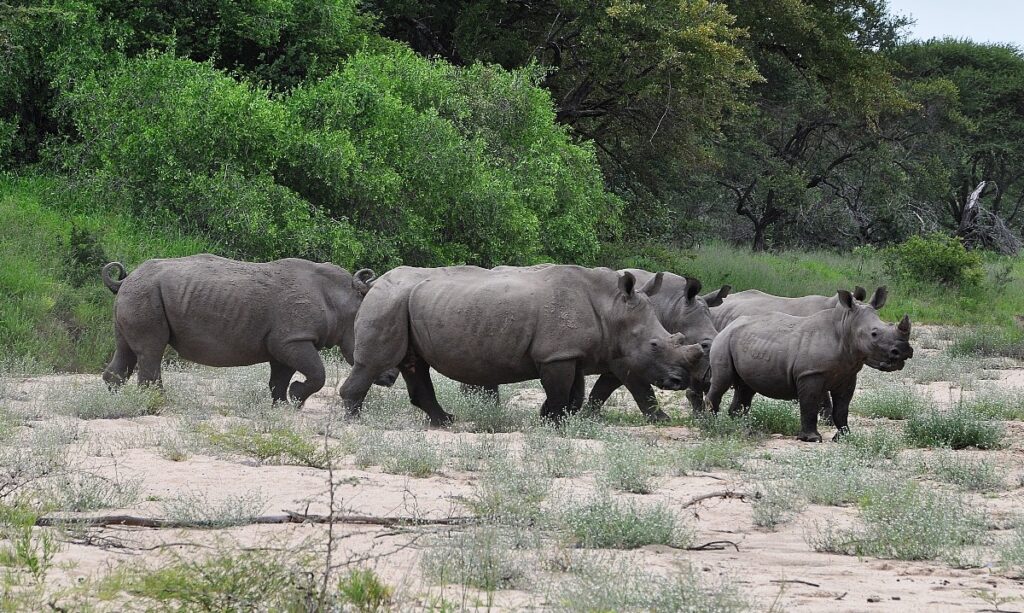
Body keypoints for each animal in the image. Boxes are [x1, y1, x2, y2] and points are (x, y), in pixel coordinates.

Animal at [102, 255, 391, 407]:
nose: (389, 379)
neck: (342, 302)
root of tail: (125, 280)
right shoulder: (293, 339)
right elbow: (318, 374)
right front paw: (297, 398)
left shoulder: (283, 342)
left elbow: (279, 378)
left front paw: (282, 406)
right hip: (145, 293)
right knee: (152, 350)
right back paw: (159, 403)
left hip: (136, 294)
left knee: (127, 349)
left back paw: (116, 400)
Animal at [339, 264, 708, 427]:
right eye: (655, 344)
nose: (679, 381)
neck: (611, 308)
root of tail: (376, 283)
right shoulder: (556, 354)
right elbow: (559, 391)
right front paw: (551, 422)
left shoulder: (569, 352)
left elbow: (573, 392)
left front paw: (554, 419)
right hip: (388, 302)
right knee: (375, 362)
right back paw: (354, 419)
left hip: (404, 302)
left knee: (415, 364)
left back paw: (445, 421)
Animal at [704, 288, 913, 442]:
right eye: (874, 334)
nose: (903, 351)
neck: (845, 328)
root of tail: (728, 326)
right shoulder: (810, 373)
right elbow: (810, 405)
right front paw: (812, 439)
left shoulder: (848, 376)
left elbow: (842, 409)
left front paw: (844, 437)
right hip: (723, 341)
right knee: (722, 381)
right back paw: (710, 424)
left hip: (741, 340)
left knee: (746, 387)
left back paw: (742, 427)